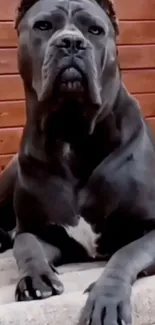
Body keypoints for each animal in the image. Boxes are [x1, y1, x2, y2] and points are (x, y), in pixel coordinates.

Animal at [0, 0, 155, 322]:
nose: (71, 42)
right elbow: (25, 244)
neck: (72, 132)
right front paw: (35, 278)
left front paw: (106, 298)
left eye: (95, 30)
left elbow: (127, 254)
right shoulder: (41, 231)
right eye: (43, 26)